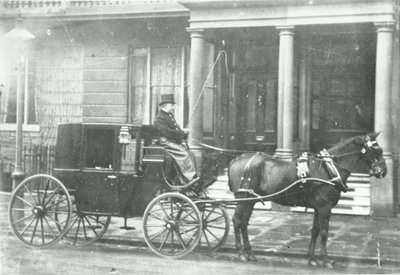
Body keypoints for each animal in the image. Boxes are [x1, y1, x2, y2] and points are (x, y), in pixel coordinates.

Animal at [228, 133, 388, 268]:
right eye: (376, 151)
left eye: (380, 150)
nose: (384, 171)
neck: (327, 169)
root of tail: (236, 159)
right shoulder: (325, 207)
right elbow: (324, 232)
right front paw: (326, 260)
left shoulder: (318, 208)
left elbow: (315, 231)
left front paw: (311, 258)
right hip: (243, 198)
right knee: (237, 220)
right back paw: (241, 253)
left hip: (250, 200)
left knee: (244, 223)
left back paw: (249, 253)